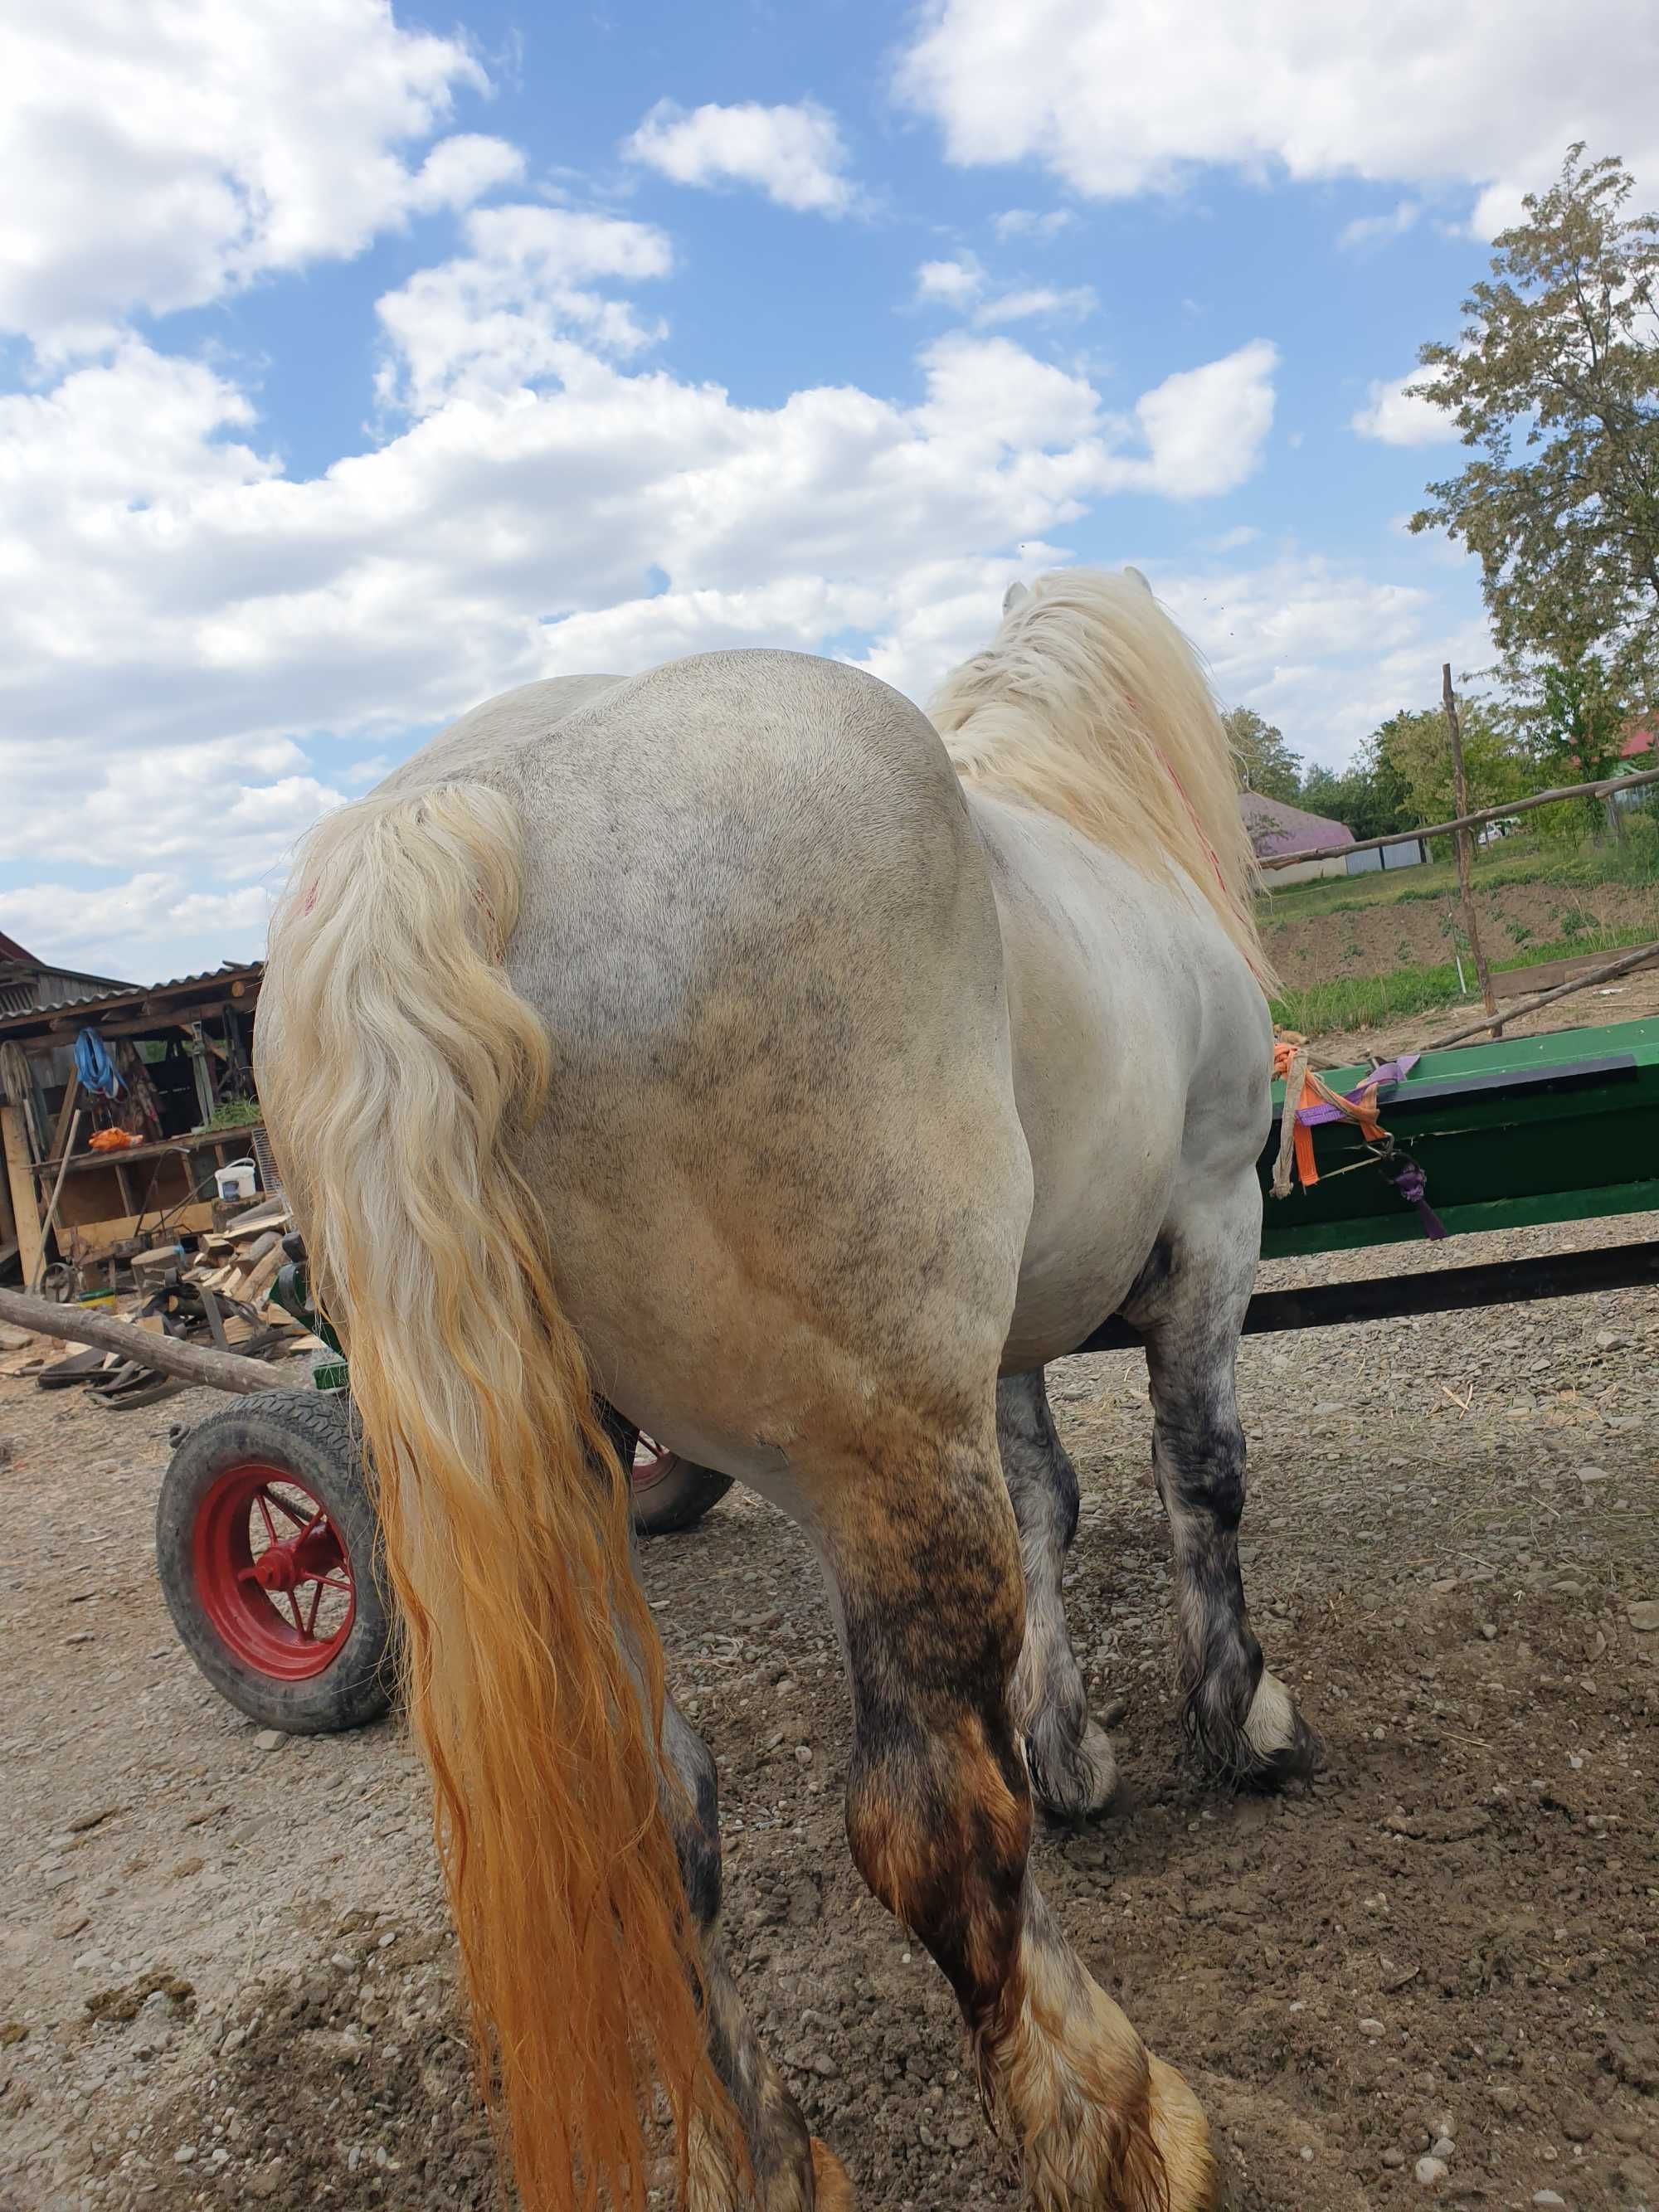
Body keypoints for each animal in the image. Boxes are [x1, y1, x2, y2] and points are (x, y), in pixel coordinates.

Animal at [256, 571, 1327, 2212]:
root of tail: (478, 806)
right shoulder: (1214, 1218)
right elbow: (1200, 1475)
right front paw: (1242, 1719)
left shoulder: (1004, 1338)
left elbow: (1054, 1502)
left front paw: (1071, 1744)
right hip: (878, 1455)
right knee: (932, 1830)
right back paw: (1123, 2123)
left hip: (588, 1488)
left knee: (658, 1825)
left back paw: (763, 2159)